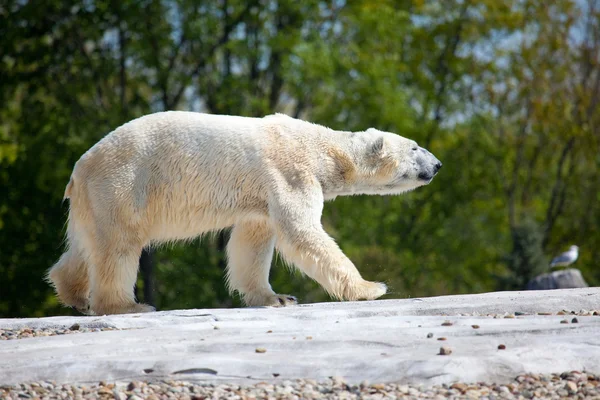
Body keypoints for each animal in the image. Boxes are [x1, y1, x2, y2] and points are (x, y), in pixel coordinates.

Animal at [48, 111, 440, 314]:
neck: (323, 149)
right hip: (125, 184)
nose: (437, 164)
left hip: (96, 199)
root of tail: (79, 168)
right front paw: (371, 287)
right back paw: (127, 306)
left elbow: (252, 241)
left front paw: (276, 297)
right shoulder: (290, 171)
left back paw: (75, 295)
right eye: (415, 147)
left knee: (86, 246)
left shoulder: (260, 198)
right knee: (119, 246)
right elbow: (302, 231)